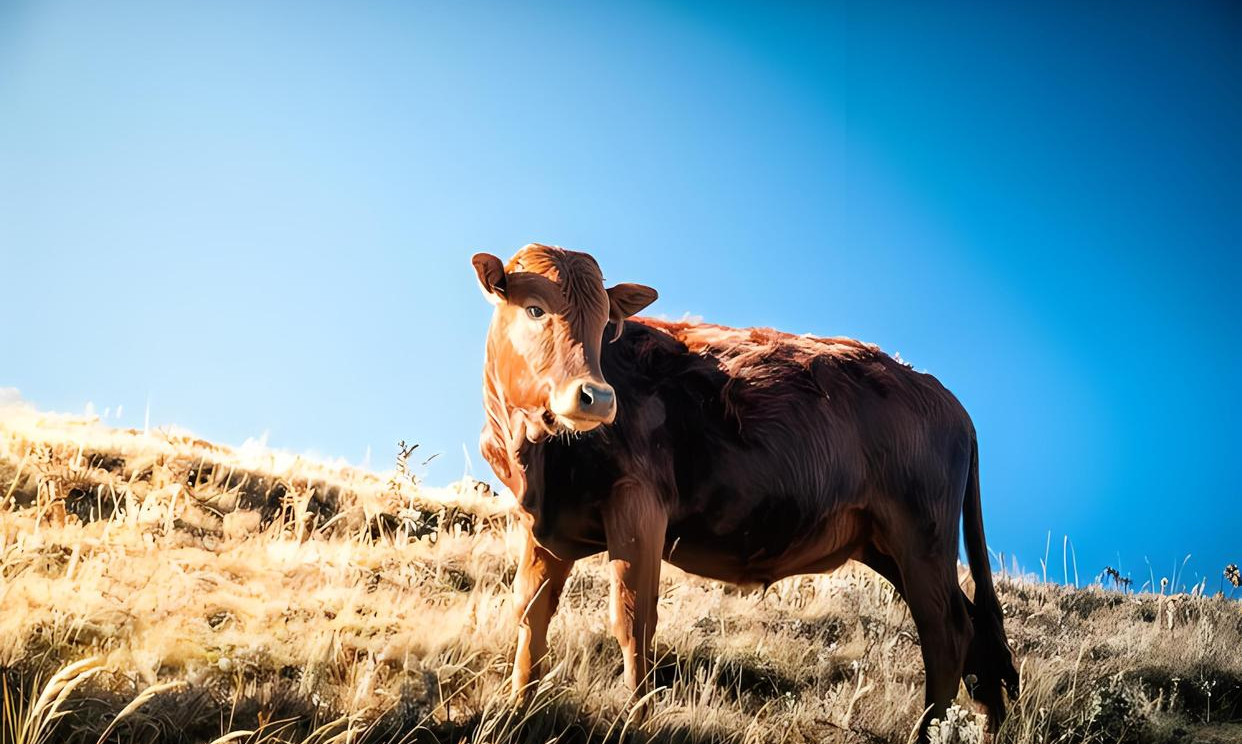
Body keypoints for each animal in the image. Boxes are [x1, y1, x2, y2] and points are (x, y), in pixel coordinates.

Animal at [469, 243, 1023, 735]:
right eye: (535, 308)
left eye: (608, 323)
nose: (597, 397)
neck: (539, 454)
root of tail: (941, 394)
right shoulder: (544, 523)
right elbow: (530, 612)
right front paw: (518, 709)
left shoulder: (638, 507)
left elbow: (633, 620)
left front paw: (635, 722)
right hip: (888, 545)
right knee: (975, 632)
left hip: (921, 536)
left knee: (947, 632)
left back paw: (928, 732)